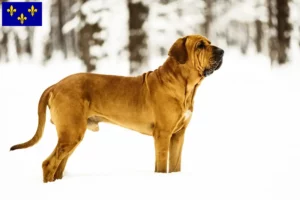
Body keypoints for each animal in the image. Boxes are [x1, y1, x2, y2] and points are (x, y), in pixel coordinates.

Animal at [9, 34, 223, 183]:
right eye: (200, 45)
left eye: (209, 42)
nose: (222, 51)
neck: (184, 86)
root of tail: (55, 85)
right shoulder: (162, 135)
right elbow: (162, 166)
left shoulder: (179, 135)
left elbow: (176, 165)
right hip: (71, 133)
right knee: (48, 164)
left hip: (72, 135)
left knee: (58, 166)